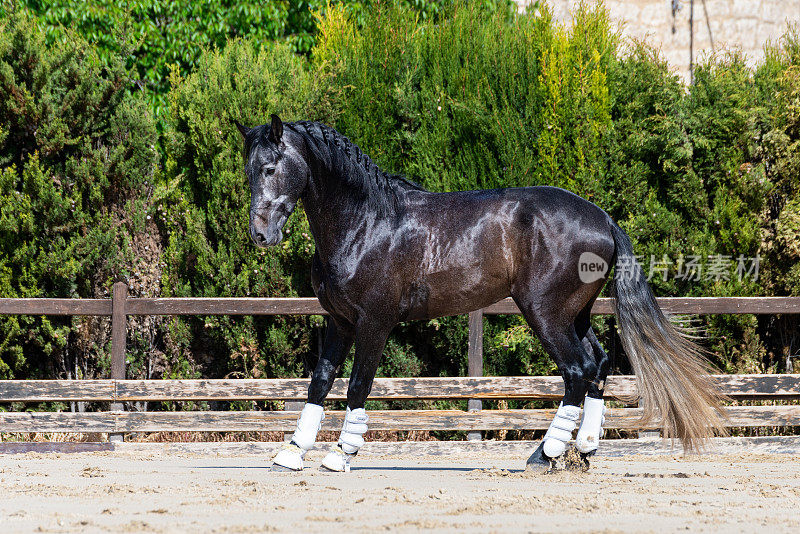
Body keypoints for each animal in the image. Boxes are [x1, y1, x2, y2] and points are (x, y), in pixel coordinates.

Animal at [231, 114, 724, 474]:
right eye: (249, 171)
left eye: (271, 167)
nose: (260, 235)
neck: (365, 222)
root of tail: (602, 217)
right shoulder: (340, 321)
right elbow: (320, 381)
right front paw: (291, 452)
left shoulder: (375, 321)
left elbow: (357, 384)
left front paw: (340, 455)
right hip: (574, 314)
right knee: (598, 365)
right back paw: (581, 449)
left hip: (544, 313)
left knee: (577, 370)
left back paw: (544, 454)